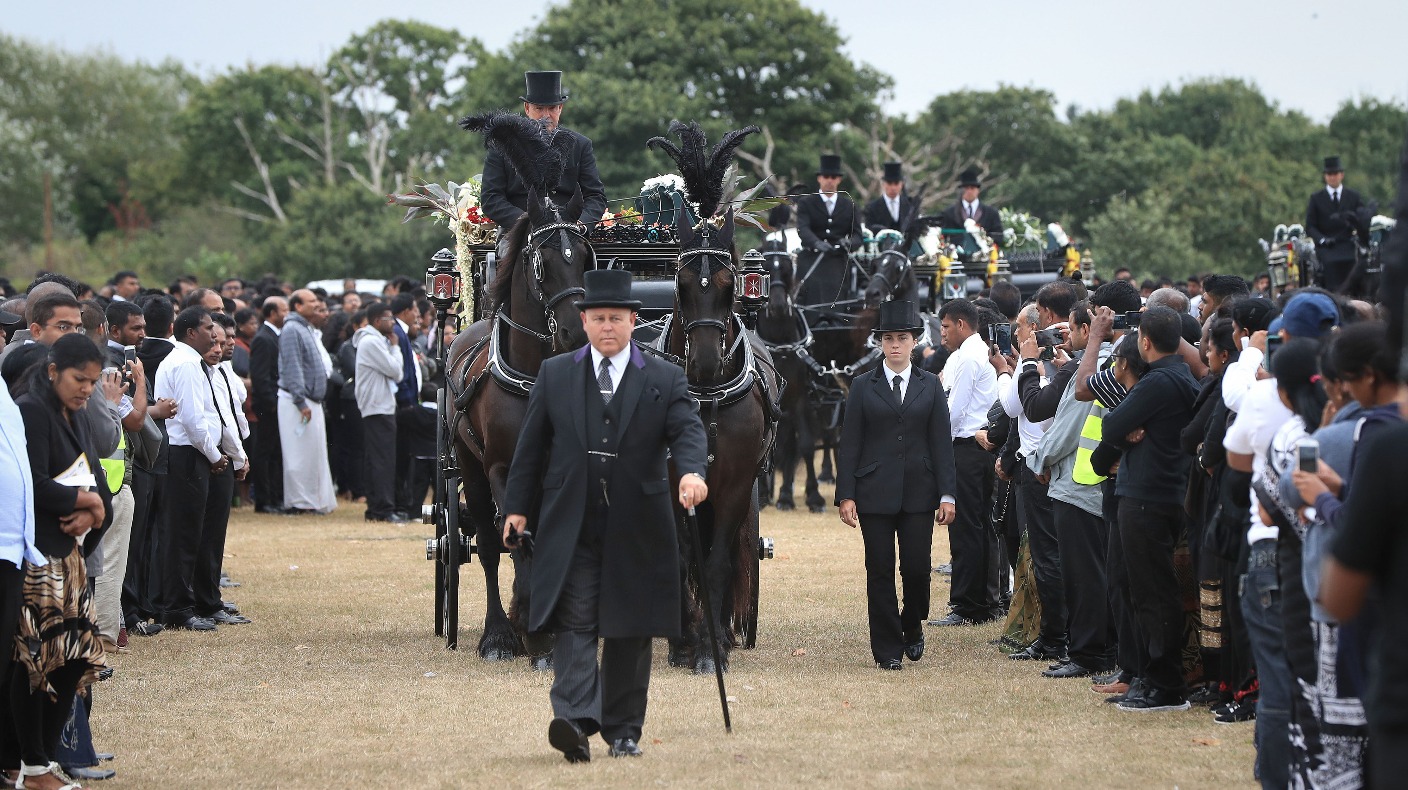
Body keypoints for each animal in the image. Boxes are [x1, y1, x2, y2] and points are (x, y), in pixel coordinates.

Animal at [445, 186, 595, 668]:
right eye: (541, 263)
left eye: (584, 257)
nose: (576, 331)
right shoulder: (502, 470)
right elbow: (513, 542)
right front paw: (529, 629)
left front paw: (545, 631)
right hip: (470, 468)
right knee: (490, 544)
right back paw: (498, 633)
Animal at [654, 209, 780, 674]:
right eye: (681, 283)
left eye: (731, 285)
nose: (705, 362)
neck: (707, 396)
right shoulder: (673, 483)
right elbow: (682, 557)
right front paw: (683, 641)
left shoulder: (734, 487)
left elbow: (717, 562)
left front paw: (711, 651)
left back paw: (721, 633)